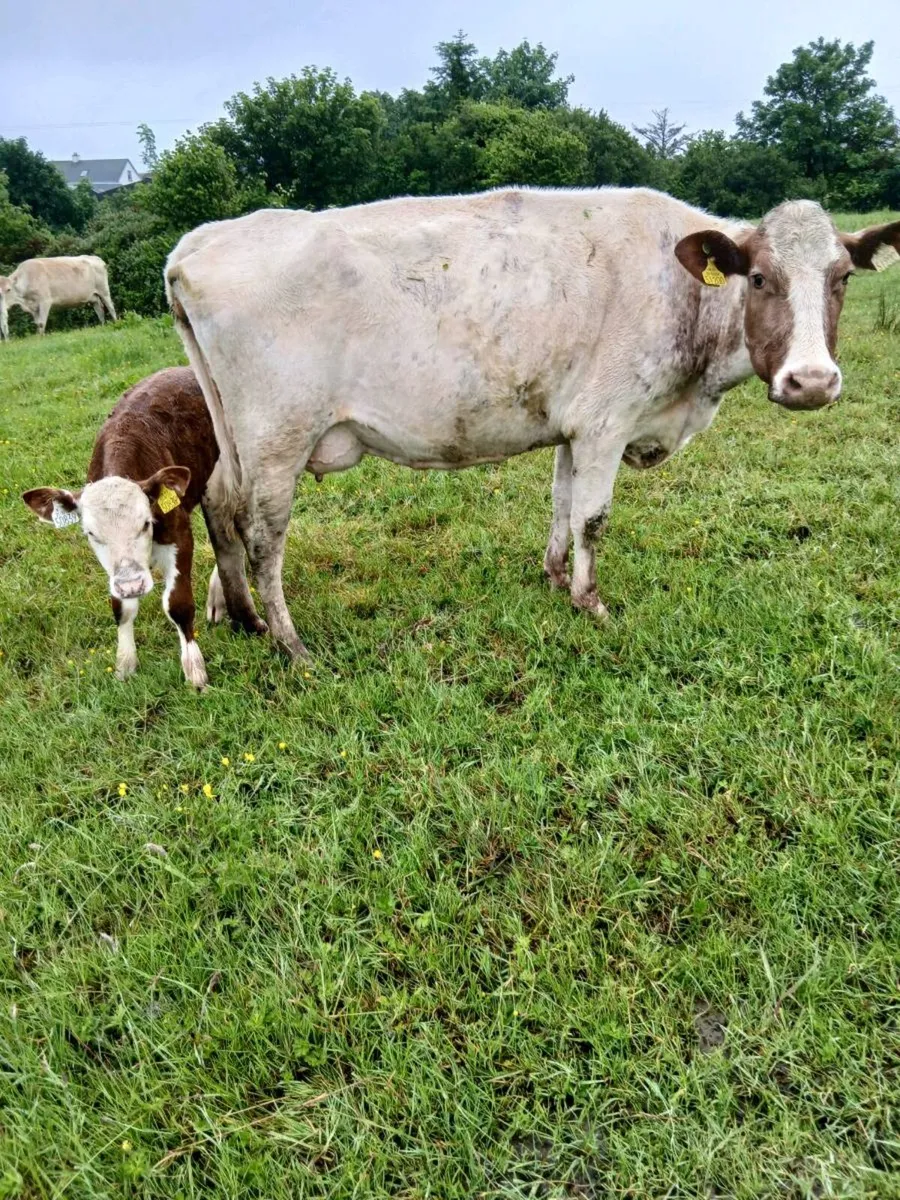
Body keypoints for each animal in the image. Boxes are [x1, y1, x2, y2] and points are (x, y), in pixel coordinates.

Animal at [22, 367, 265, 689]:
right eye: (91, 534)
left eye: (146, 523)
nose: (132, 585)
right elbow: (122, 610)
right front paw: (125, 664)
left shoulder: (179, 535)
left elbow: (178, 604)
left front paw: (194, 669)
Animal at [165, 187, 900, 661]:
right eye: (759, 278)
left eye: (841, 278)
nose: (812, 381)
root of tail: (202, 240)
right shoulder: (607, 421)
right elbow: (593, 518)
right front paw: (590, 602)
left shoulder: (576, 426)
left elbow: (562, 503)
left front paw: (554, 577)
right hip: (277, 437)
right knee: (263, 536)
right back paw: (290, 643)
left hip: (235, 436)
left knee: (220, 509)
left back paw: (245, 618)